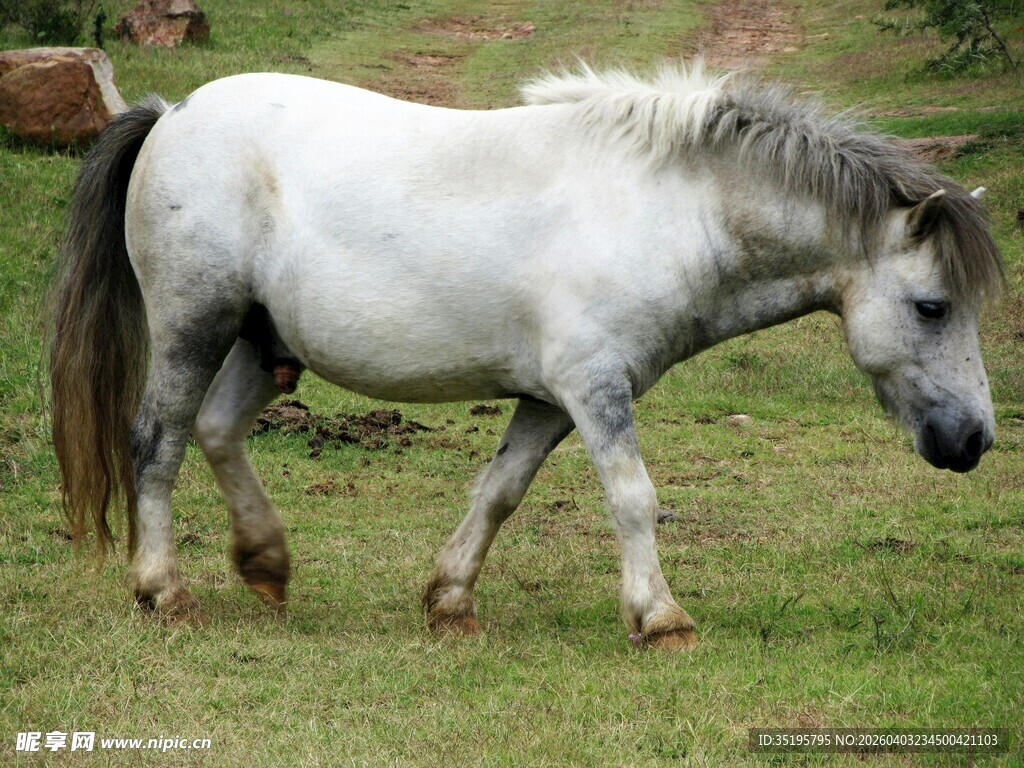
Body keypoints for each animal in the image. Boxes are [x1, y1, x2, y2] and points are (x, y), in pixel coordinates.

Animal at [50, 62, 1003, 650]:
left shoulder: (551, 399)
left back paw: (267, 564)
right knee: (158, 443)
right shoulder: (595, 388)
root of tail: (172, 115)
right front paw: (660, 619)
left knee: (214, 433)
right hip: (195, 326)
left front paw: (450, 602)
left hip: (262, 341)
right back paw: (164, 590)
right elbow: (632, 497)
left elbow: (500, 492)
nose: (975, 442)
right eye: (933, 307)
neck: (664, 211)